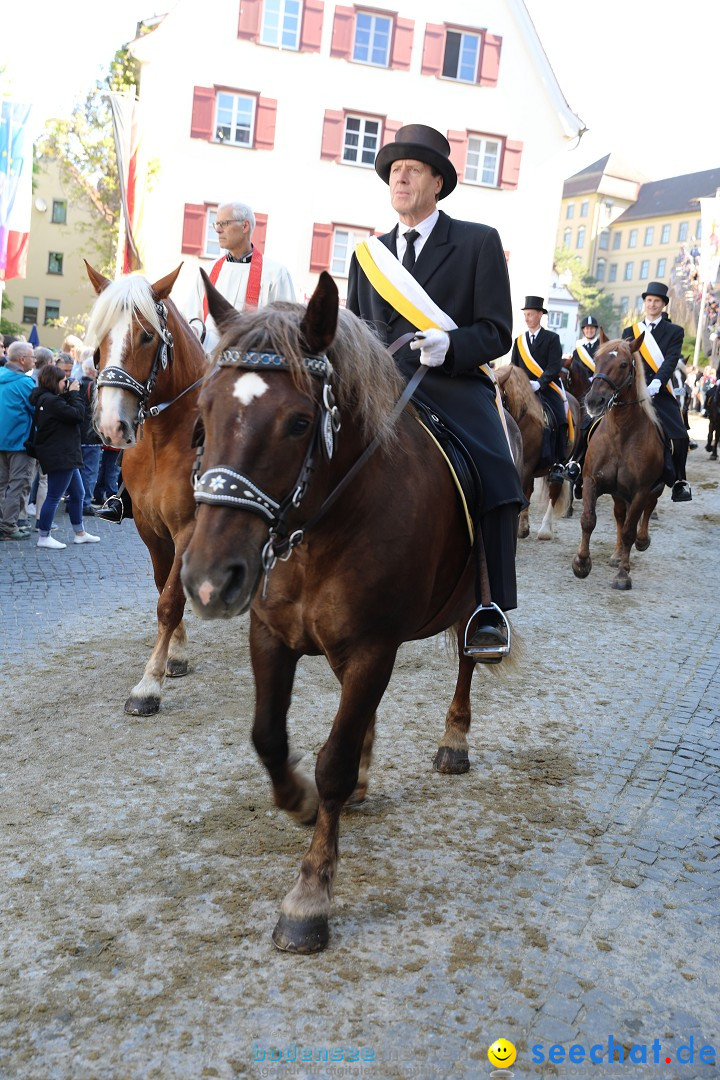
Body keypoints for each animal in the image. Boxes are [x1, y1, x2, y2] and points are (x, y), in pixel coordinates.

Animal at [85, 262, 208, 717]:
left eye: (147, 336)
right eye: (100, 336)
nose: (110, 426)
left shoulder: (190, 527)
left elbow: (169, 600)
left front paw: (148, 685)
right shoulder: (149, 527)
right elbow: (162, 585)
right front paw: (177, 654)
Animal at [179, 270, 518, 954]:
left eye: (298, 421)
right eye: (203, 415)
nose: (207, 580)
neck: (323, 526)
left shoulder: (372, 648)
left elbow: (331, 762)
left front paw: (309, 897)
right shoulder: (271, 635)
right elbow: (268, 737)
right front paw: (301, 800)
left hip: (472, 603)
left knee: (468, 662)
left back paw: (454, 740)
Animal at [569, 334, 669, 591]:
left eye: (624, 364)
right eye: (597, 360)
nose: (594, 401)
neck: (621, 433)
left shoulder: (641, 490)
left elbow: (629, 532)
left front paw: (623, 575)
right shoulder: (591, 480)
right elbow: (588, 520)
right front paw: (581, 563)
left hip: (651, 489)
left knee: (646, 512)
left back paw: (641, 542)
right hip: (618, 493)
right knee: (620, 516)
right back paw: (615, 555)